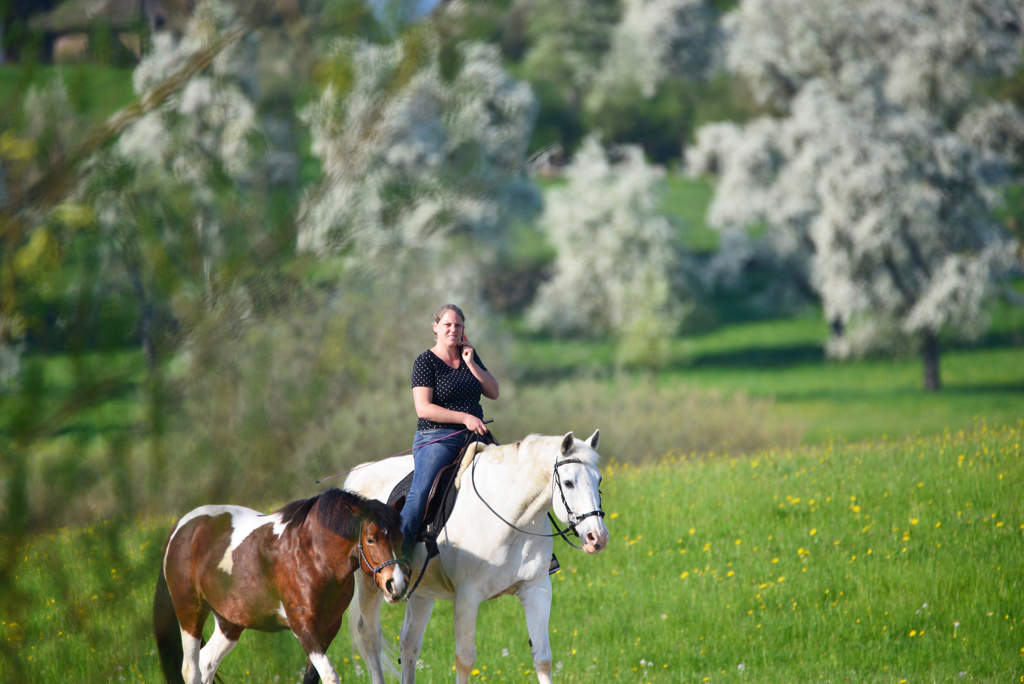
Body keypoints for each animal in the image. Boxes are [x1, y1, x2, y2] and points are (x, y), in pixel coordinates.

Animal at [153, 489, 405, 684]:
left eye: (401, 537)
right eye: (371, 539)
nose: (397, 585)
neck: (313, 554)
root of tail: (181, 527)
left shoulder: (328, 628)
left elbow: (312, 677)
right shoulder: (303, 626)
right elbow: (330, 676)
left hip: (229, 623)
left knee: (206, 663)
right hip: (189, 612)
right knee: (192, 670)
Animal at [348, 432, 610, 684]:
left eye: (599, 480)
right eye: (568, 483)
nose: (597, 537)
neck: (511, 518)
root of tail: (358, 475)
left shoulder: (537, 589)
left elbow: (543, 658)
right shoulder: (468, 596)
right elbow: (465, 660)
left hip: (422, 591)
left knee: (409, 642)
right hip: (370, 582)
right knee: (370, 636)